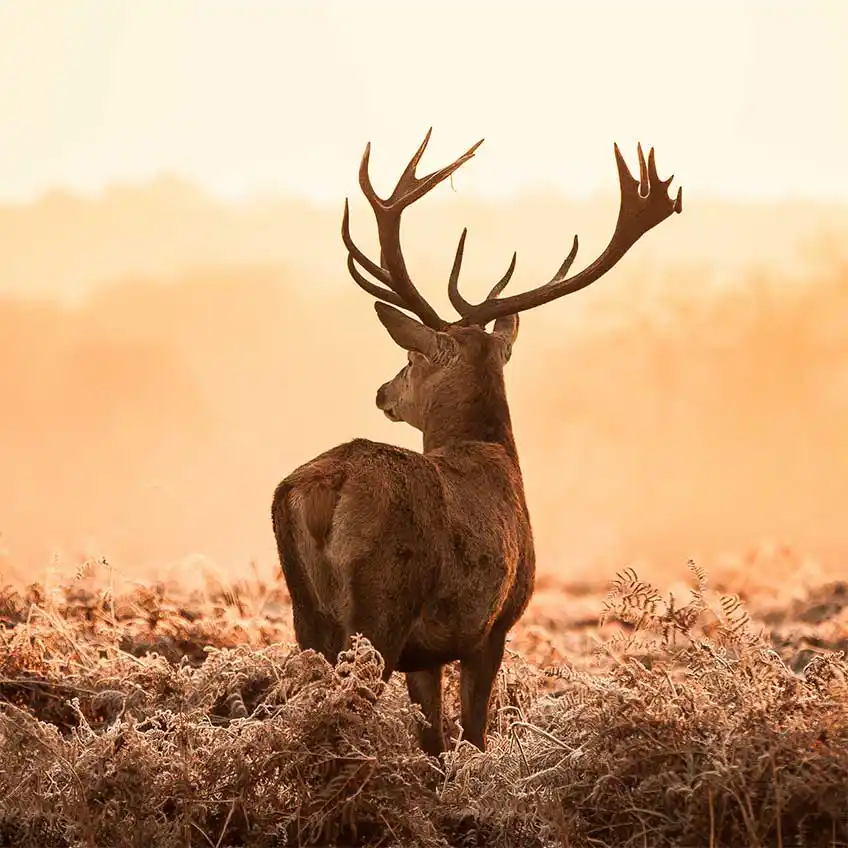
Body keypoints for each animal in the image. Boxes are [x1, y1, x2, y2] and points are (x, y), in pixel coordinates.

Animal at [272, 127, 684, 756]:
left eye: (410, 356)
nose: (382, 392)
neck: (493, 454)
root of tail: (326, 488)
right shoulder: (493, 624)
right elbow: (474, 733)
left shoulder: (428, 652)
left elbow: (434, 739)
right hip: (381, 606)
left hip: (307, 613)